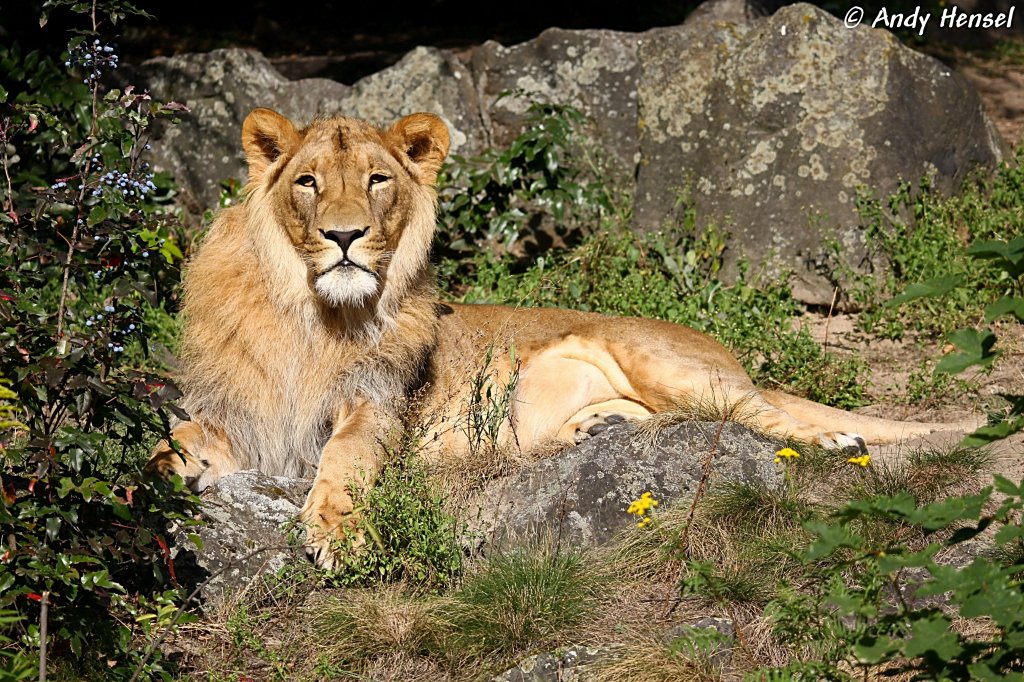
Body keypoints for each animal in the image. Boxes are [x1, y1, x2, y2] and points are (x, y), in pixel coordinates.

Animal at [148, 104, 978, 561]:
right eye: (308, 183)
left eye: (378, 181)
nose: (345, 236)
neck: (313, 317)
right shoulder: (231, 415)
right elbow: (164, 445)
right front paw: (147, 489)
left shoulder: (376, 403)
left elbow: (344, 458)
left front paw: (334, 531)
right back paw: (597, 430)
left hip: (655, 355)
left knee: (760, 415)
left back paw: (834, 439)